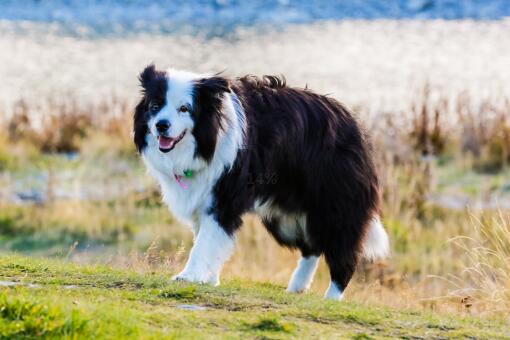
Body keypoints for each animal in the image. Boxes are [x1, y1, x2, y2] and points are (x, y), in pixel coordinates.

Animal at [133, 65, 388, 300]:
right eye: (155, 106)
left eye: (184, 109)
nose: (161, 125)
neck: (208, 139)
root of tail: (354, 124)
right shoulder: (202, 198)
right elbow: (209, 240)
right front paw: (210, 279)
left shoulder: (223, 197)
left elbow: (204, 242)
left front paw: (188, 277)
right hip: (285, 215)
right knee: (312, 246)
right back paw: (297, 287)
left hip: (334, 204)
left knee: (342, 251)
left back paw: (331, 298)